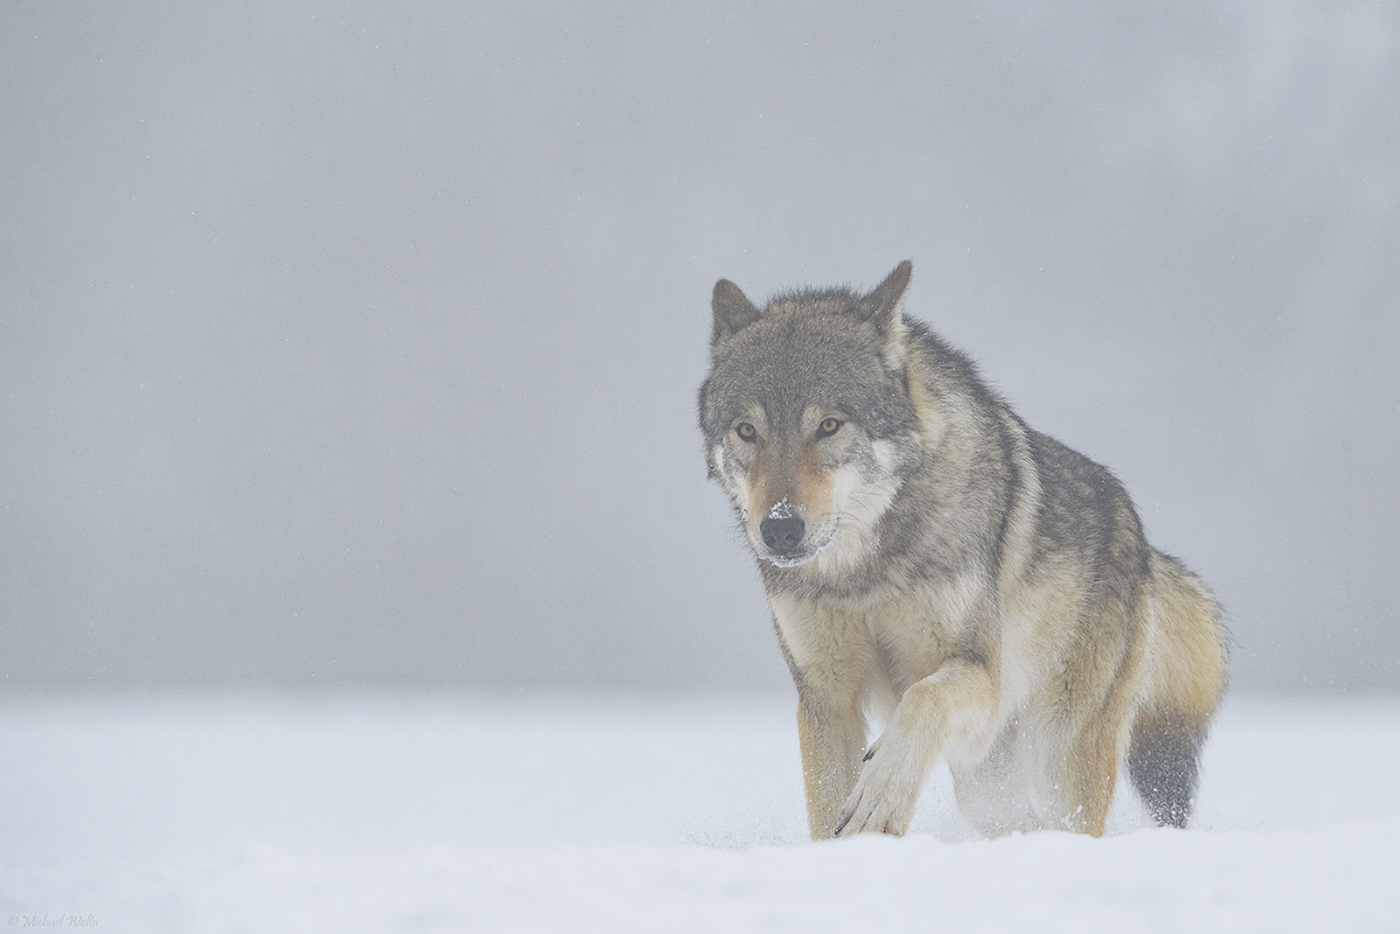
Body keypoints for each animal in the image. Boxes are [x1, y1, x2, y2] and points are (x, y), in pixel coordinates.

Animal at [700, 261, 1226, 840]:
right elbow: (827, 808)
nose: (780, 530)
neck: (863, 575)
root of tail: (1144, 543)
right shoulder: (826, 698)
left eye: (829, 425)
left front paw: (881, 797)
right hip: (988, 789)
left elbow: (923, 697)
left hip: (1055, 759)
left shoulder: (980, 681)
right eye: (747, 431)